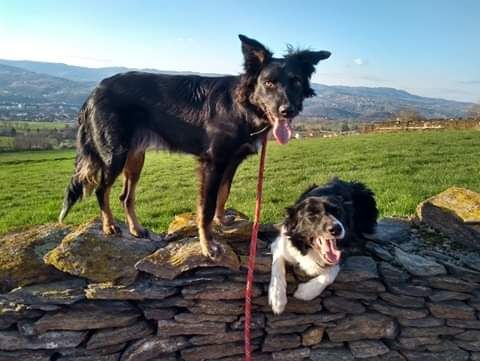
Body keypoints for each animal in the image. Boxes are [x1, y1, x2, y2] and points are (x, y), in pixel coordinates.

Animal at [59, 33, 330, 258]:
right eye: (269, 83)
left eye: (296, 81)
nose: (287, 111)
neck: (241, 106)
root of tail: (95, 91)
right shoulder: (212, 163)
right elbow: (206, 208)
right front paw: (207, 245)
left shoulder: (231, 161)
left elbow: (223, 194)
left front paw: (222, 221)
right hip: (114, 153)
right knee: (101, 189)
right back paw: (109, 225)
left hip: (135, 157)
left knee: (125, 195)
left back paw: (136, 228)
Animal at [268, 179, 376, 314]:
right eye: (311, 215)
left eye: (338, 212)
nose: (337, 229)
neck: (309, 248)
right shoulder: (280, 244)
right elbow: (277, 266)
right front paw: (277, 298)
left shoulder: (352, 244)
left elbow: (331, 271)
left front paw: (305, 292)